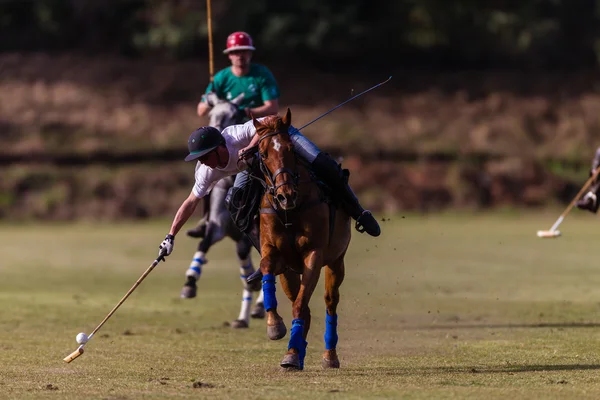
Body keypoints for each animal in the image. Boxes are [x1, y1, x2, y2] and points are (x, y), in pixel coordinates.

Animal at [180, 93, 264, 328]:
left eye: (234, 114)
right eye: (211, 114)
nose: (216, 130)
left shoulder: (244, 236)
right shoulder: (217, 225)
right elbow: (205, 242)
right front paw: (190, 283)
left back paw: (258, 306)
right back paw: (242, 318)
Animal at [252, 110, 352, 372]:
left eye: (291, 148)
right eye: (263, 154)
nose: (286, 195)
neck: (291, 212)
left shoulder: (314, 254)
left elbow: (301, 305)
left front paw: (291, 352)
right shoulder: (274, 253)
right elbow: (266, 267)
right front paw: (275, 326)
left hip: (337, 261)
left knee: (329, 301)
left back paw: (328, 356)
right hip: (289, 273)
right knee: (302, 303)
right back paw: (296, 351)